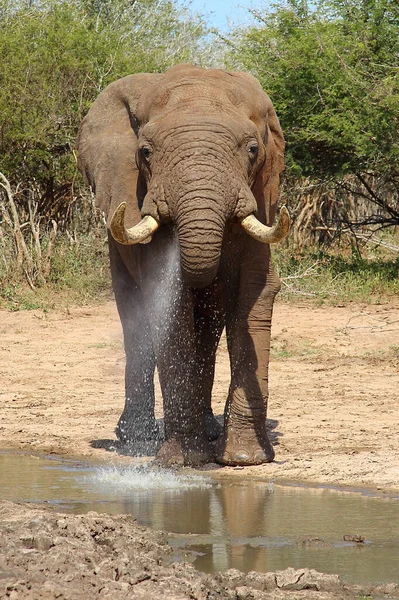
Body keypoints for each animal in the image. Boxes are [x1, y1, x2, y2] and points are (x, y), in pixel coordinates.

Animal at [77, 64, 290, 468]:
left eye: (253, 150)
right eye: (145, 152)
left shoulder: (262, 195)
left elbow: (254, 293)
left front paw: (244, 459)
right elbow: (170, 305)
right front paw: (182, 462)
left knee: (208, 326)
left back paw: (207, 431)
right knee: (134, 316)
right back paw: (136, 438)